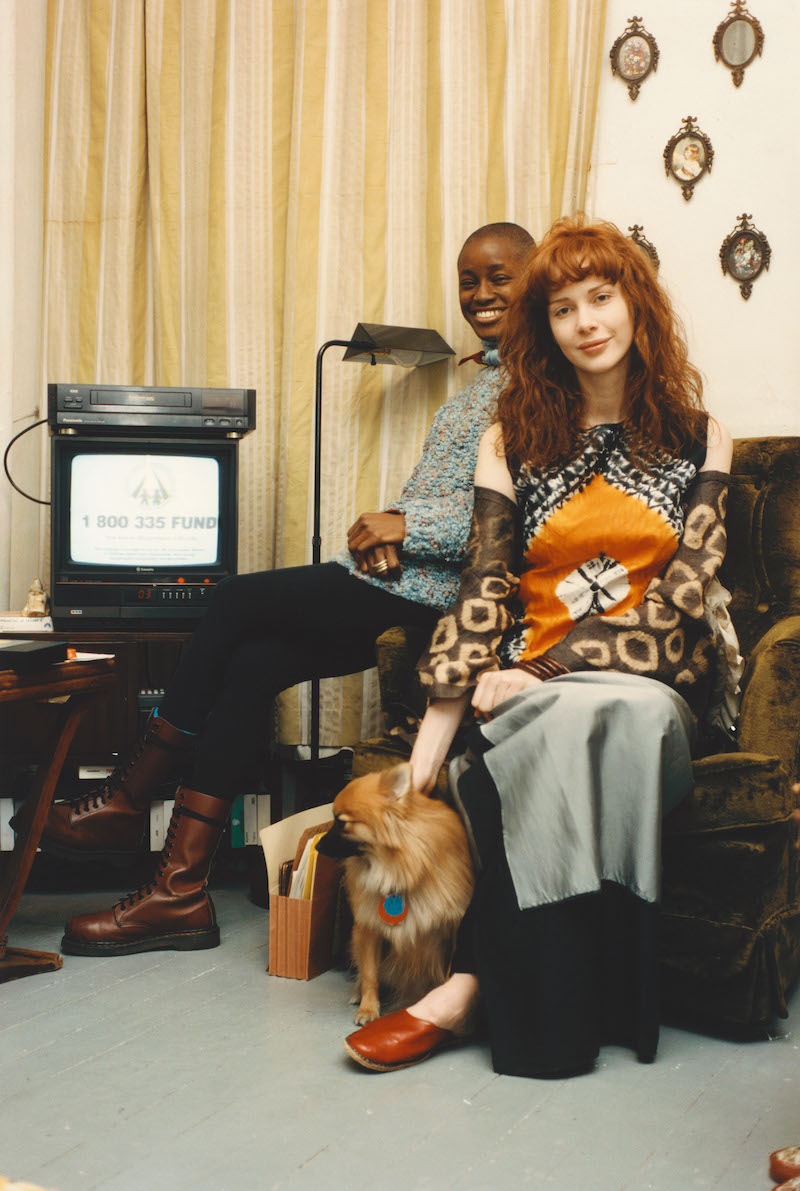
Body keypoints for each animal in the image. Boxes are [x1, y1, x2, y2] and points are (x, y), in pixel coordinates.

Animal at [314, 762, 476, 1024]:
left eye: (341, 822)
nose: (317, 846)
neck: (395, 870)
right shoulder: (369, 928)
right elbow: (370, 974)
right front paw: (369, 1008)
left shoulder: (452, 930)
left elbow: (450, 972)